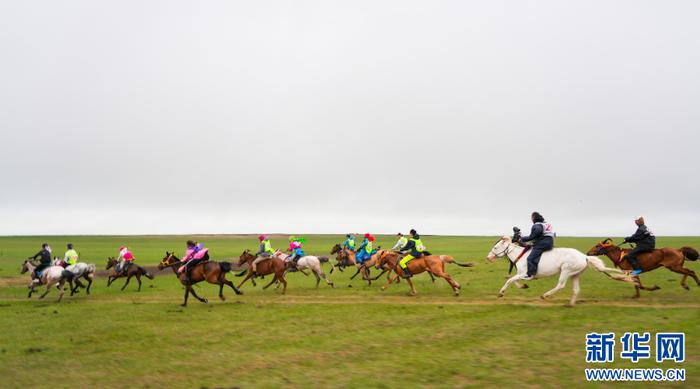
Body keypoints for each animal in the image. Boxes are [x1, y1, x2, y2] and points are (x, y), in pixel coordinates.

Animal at [484, 235, 636, 304]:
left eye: (496, 247)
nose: (488, 257)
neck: (521, 255)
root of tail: (584, 256)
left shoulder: (526, 274)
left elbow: (510, 280)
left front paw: (501, 293)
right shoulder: (521, 274)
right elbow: (514, 280)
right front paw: (524, 286)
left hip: (566, 271)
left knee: (561, 285)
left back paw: (545, 295)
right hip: (575, 275)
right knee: (576, 289)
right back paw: (570, 304)